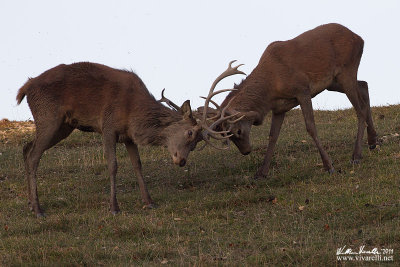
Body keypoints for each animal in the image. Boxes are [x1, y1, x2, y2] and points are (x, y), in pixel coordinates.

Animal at [17, 61, 241, 218]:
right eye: (190, 134)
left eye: (195, 145)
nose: (181, 161)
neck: (134, 110)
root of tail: (25, 88)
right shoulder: (108, 127)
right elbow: (113, 165)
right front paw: (114, 207)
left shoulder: (128, 136)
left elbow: (138, 165)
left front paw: (149, 201)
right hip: (49, 117)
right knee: (34, 155)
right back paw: (38, 209)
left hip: (64, 126)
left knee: (27, 148)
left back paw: (30, 204)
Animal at [206, 24, 378, 180]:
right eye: (227, 136)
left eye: (238, 131)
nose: (246, 151)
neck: (271, 87)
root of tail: (360, 39)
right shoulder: (279, 108)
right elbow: (273, 136)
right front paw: (261, 173)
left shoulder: (303, 90)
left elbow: (311, 127)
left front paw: (329, 166)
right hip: (333, 82)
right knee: (364, 86)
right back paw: (372, 141)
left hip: (346, 70)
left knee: (360, 109)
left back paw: (356, 155)